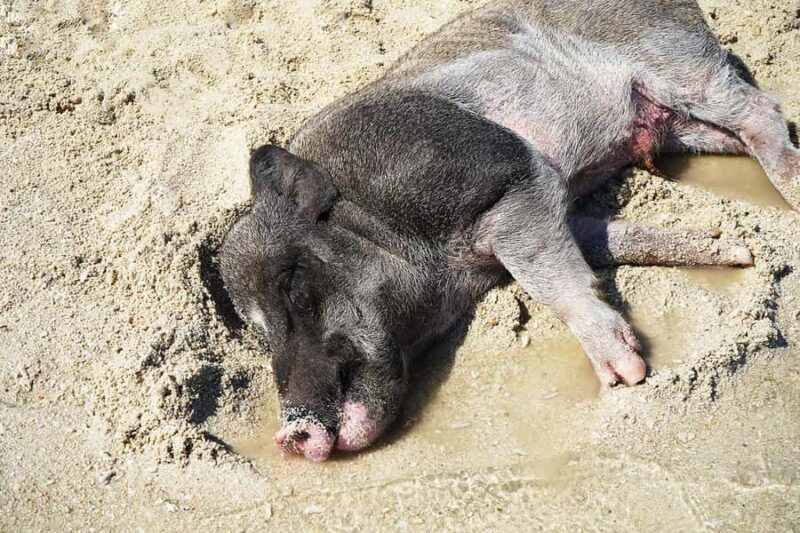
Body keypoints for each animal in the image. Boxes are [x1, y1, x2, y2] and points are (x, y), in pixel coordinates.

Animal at [220, 0, 799, 461]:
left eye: (296, 288)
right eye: (259, 332)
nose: (290, 435)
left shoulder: (511, 175)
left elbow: (545, 277)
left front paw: (626, 377)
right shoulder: (552, 207)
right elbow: (607, 241)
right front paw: (735, 250)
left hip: (682, 63)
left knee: (761, 108)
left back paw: (791, 189)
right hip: (683, 127)